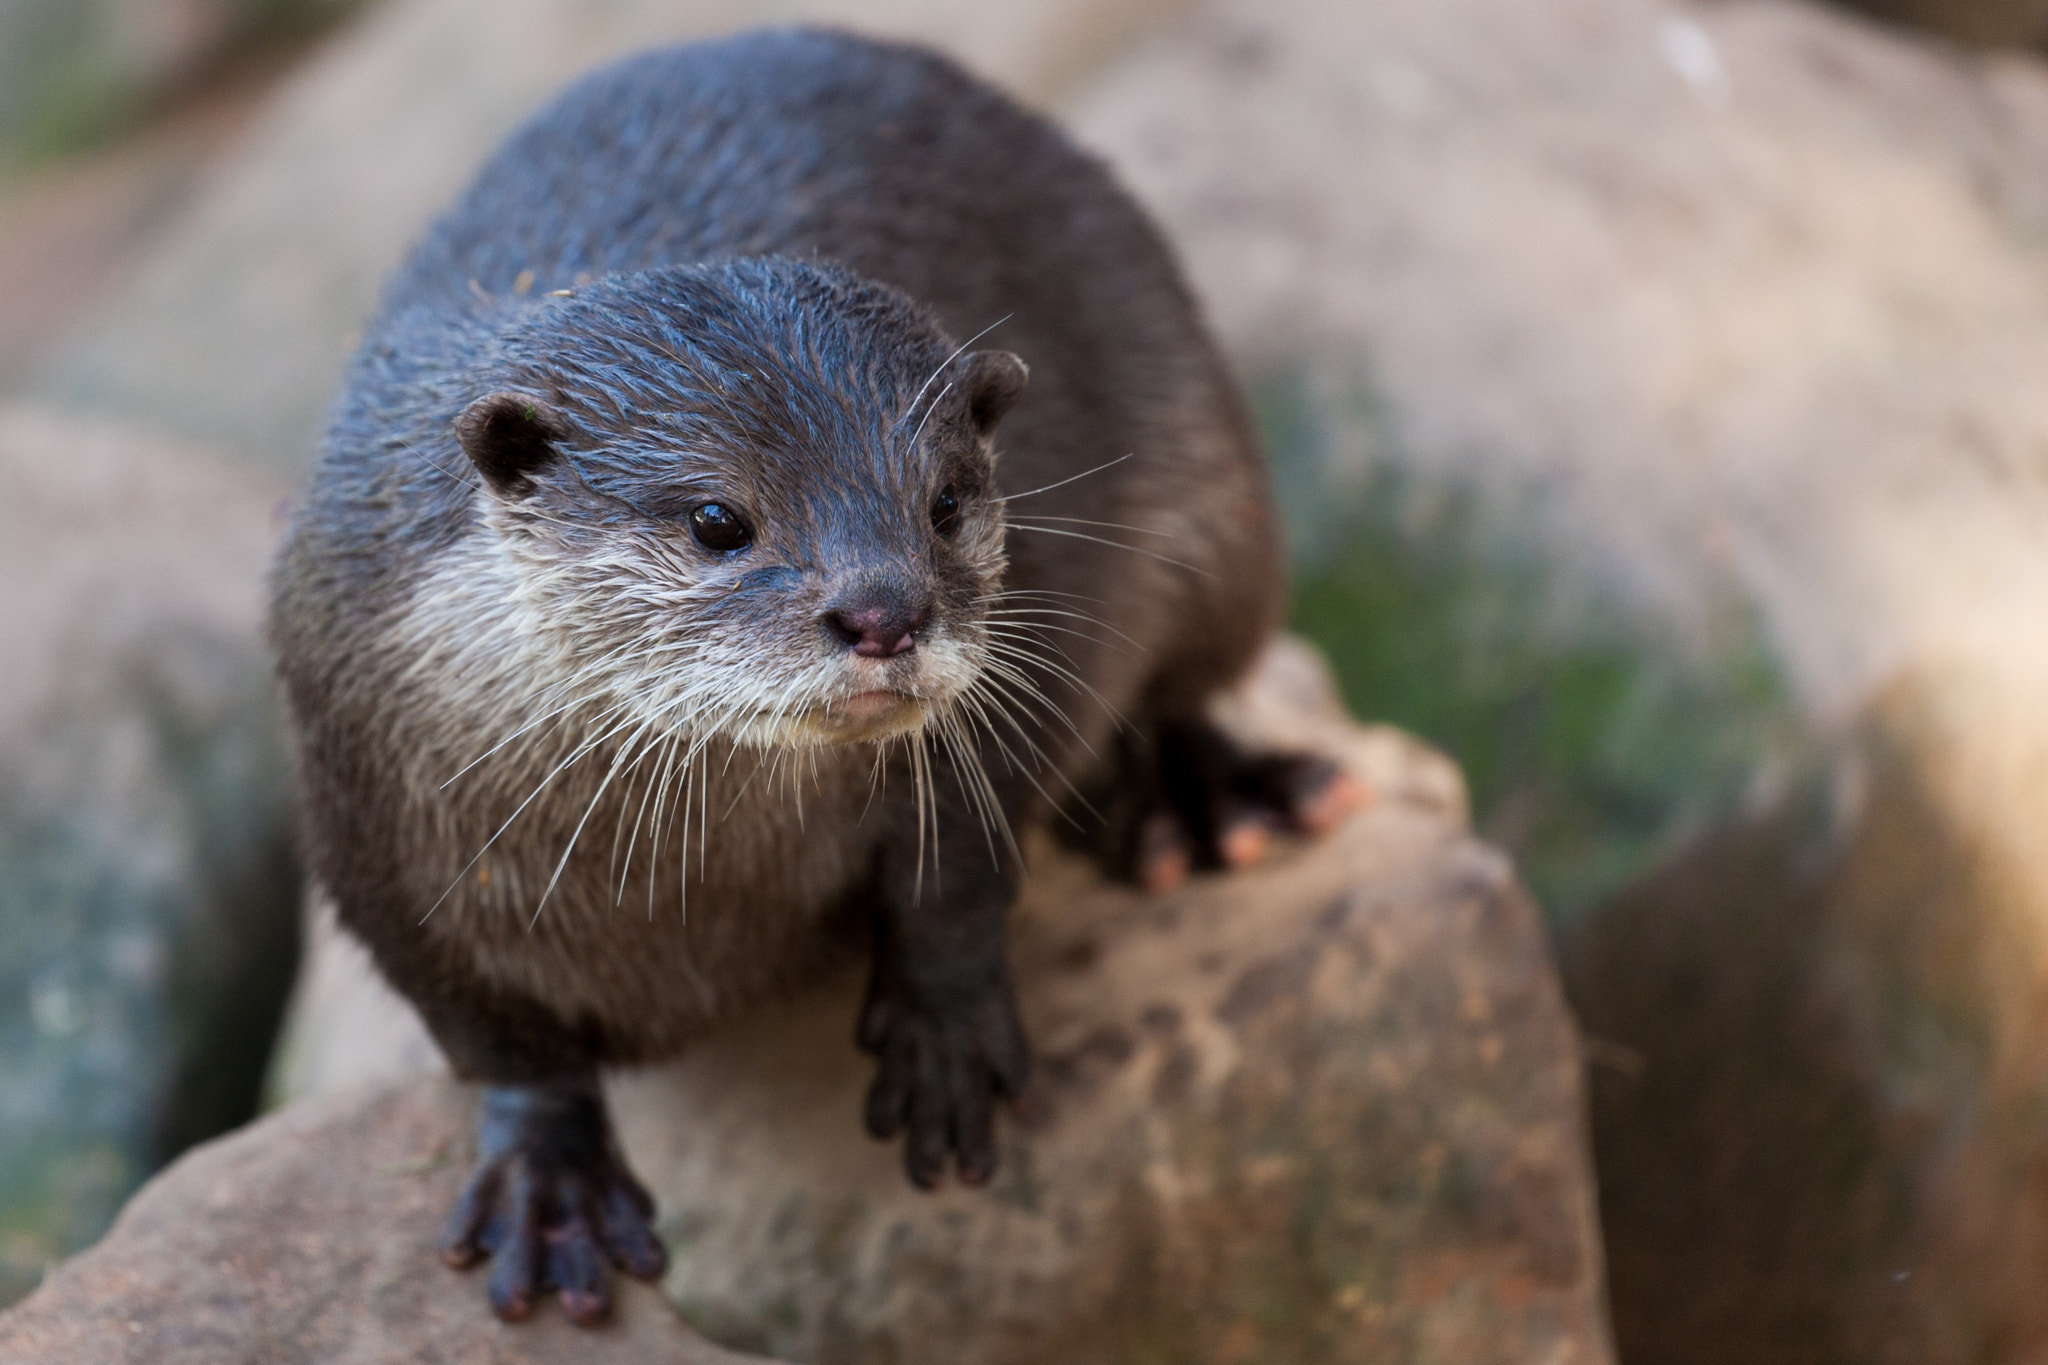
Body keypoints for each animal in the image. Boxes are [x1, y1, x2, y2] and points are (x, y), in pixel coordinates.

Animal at [269, 27, 1360, 1327]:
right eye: (713, 518)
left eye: (945, 503)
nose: (883, 611)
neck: (690, 894)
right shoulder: (365, 836)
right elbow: (492, 1037)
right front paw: (547, 1174)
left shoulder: (1024, 668)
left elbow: (962, 861)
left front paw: (942, 1029)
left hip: (1212, 476)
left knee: (1191, 671)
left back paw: (1206, 804)